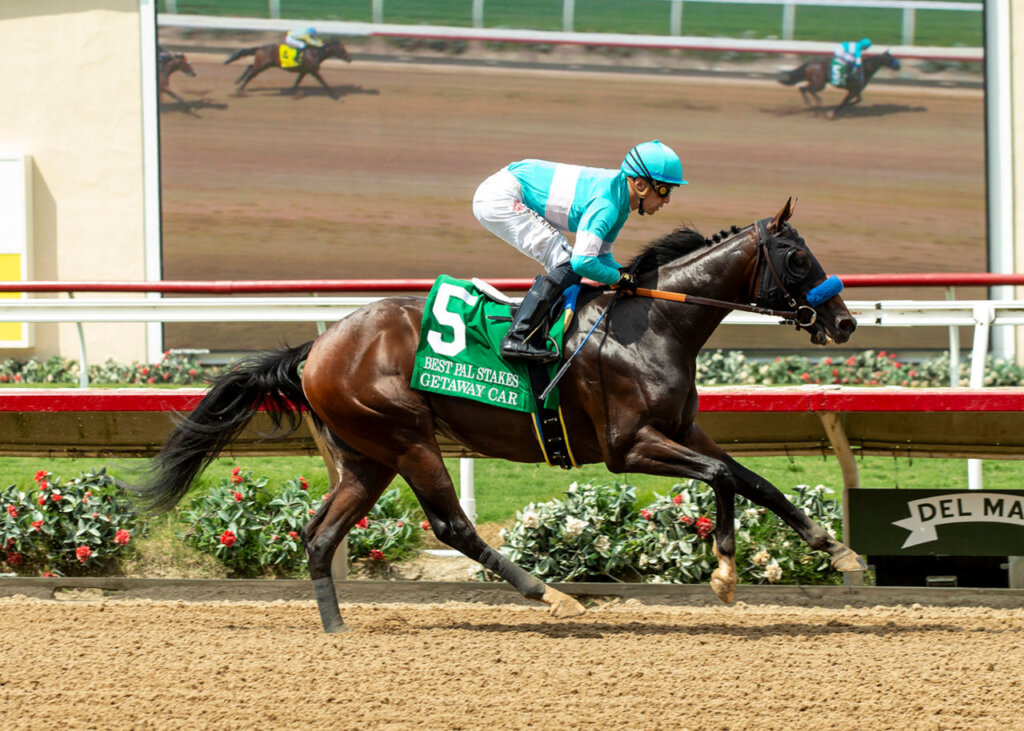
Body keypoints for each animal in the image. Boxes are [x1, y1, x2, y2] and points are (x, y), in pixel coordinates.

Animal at [130, 196, 864, 630]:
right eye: (797, 257)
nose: (845, 321)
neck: (654, 322)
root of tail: (319, 346)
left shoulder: (683, 428)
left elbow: (751, 479)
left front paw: (828, 551)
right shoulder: (629, 445)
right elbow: (721, 476)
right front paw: (729, 570)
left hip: (364, 455)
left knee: (319, 533)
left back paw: (337, 629)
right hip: (407, 436)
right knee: (451, 523)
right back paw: (552, 594)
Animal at [224, 39, 352, 97]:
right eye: (342, 49)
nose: (349, 58)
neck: (316, 53)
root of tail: (260, 48)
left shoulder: (304, 71)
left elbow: (297, 82)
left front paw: (291, 92)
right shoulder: (313, 71)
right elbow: (324, 83)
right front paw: (336, 97)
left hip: (262, 64)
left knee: (250, 67)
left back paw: (238, 81)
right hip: (263, 65)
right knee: (251, 73)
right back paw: (239, 89)